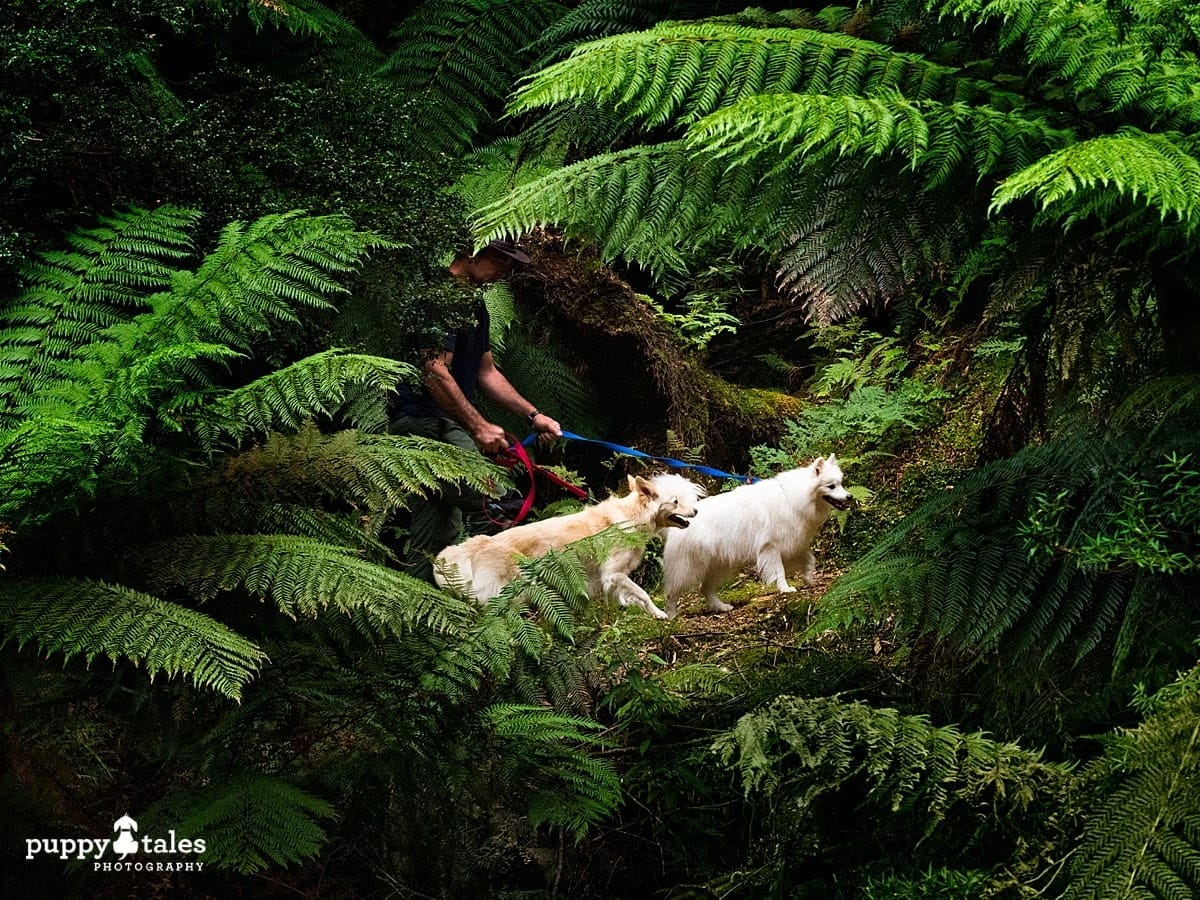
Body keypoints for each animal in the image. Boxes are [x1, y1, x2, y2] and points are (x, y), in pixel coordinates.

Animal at [436, 472, 700, 619]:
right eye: (676, 501)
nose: (696, 511)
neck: (630, 517)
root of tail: (483, 542)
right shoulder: (612, 573)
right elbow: (643, 594)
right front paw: (660, 614)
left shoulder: (608, 579)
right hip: (513, 592)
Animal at [662, 453, 849, 619]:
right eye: (831, 486)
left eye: (841, 483)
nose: (849, 496)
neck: (793, 499)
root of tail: (684, 518)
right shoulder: (771, 548)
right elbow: (779, 571)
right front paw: (785, 589)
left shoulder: (792, 545)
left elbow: (810, 559)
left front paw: (809, 578)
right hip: (687, 567)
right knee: (672, 593)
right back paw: (671, 617)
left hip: (719, 566)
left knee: (705, 589)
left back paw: (721, 607)